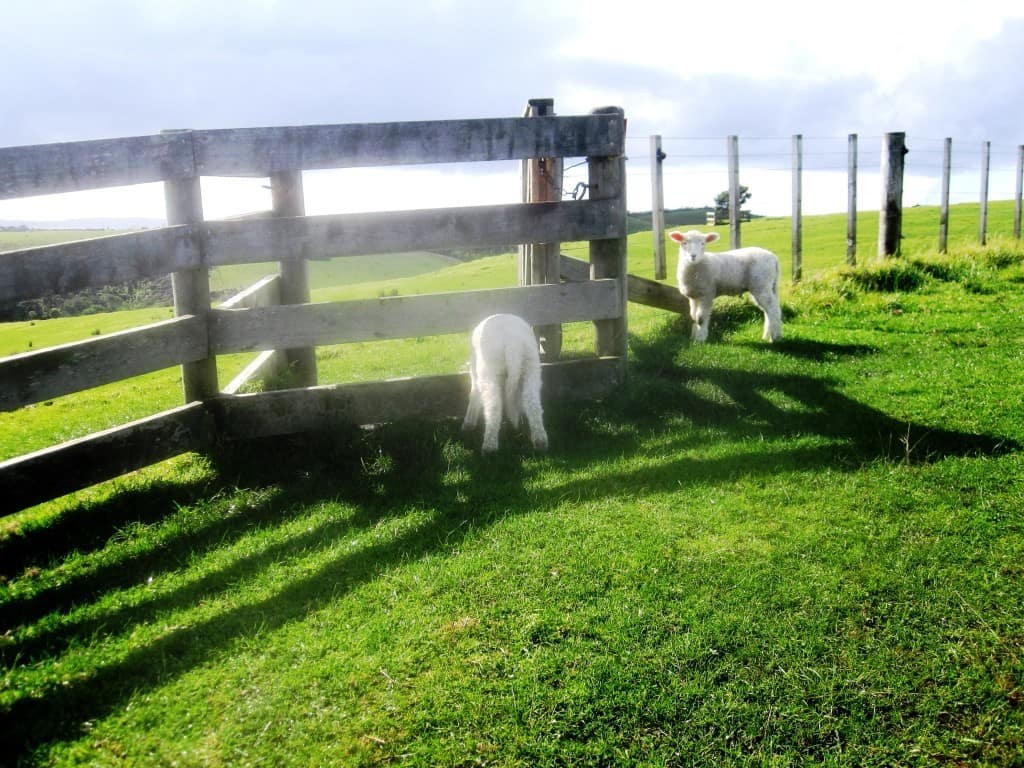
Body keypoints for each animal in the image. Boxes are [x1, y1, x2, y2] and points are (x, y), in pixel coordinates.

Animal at [462, 313, 548, 456]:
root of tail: (511, 344)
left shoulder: (475, 371)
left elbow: (473, 395)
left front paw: (468, 424)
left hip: (489, 369)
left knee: (493, 405)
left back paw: (489, 447)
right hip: (531, 364)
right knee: (532, 403)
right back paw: (540, 441)